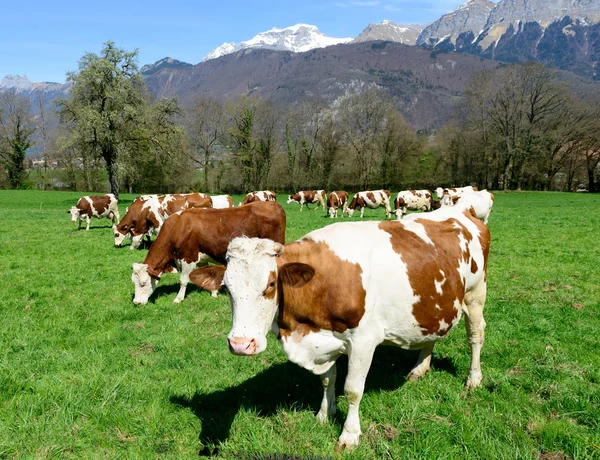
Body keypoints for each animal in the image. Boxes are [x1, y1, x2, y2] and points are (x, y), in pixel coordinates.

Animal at [132, 202, 288, 306]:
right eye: (133, 282)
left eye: (143, 283)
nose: (136, 302)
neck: (178, 227)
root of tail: (273, 204)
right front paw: (213, 291)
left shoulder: (189, 256)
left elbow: (183, 280)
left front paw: (178, 298)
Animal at [195, 207, 490, 452]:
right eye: (226, 287)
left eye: (270, 284)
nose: (240, 344)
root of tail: (463, 211)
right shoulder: (325, 340)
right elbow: (328, 380)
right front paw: (325, 414)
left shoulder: (364, 340)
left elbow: (352, 389)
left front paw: (349, 435)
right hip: (434, 304)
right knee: (431, 335)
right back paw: (419, 369)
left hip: (475, 295)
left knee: (476, 335)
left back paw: (473, 379)